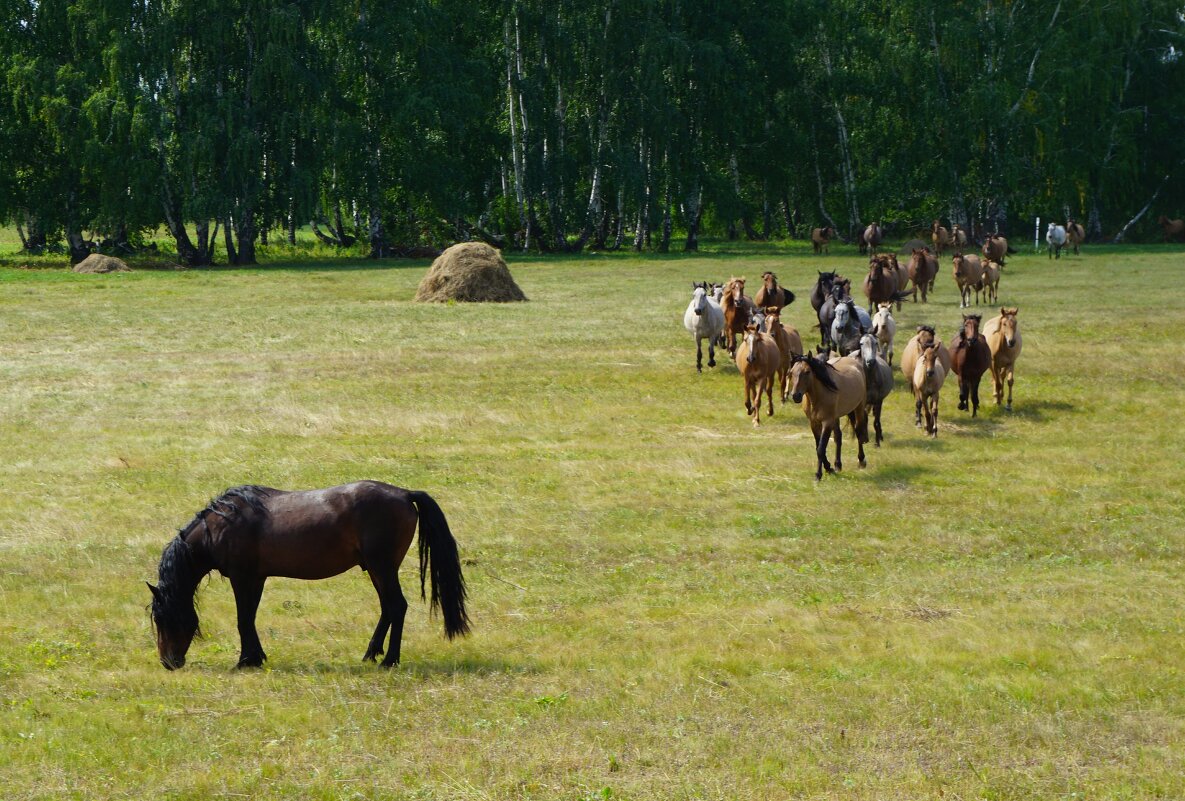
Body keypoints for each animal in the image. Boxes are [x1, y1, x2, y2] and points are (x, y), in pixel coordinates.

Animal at [151, 481, 471, 668]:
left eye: (164, 618)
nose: (168, 662)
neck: (221, 526)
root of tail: (404, 494)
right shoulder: (256, 578)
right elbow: (250, 618)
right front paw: (256, 657)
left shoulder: (241, 578)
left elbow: (243, 620)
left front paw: (244, 661)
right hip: (377, 569)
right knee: (387, 609)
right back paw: (370, 654)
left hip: (382, 567)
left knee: (397, 606)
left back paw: (389, 661)